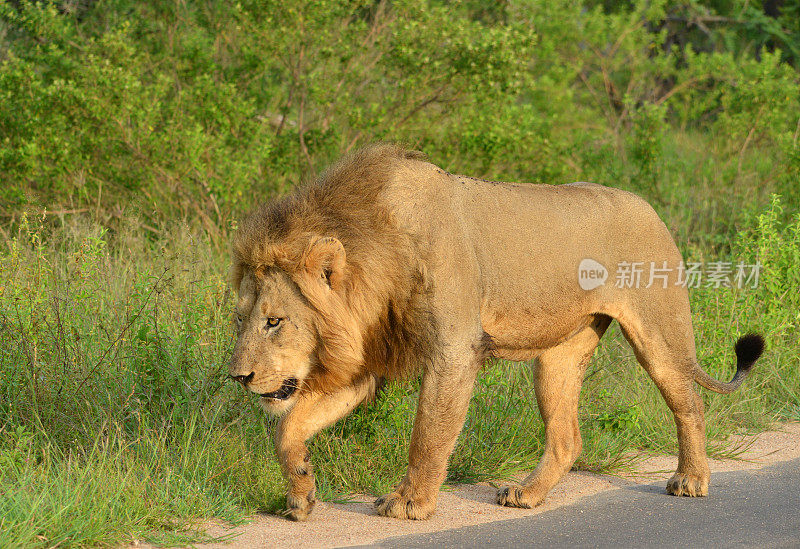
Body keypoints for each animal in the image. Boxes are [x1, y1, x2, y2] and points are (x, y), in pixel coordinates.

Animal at [228, 143, 764, 520]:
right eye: (241, 320)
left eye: (274, 321)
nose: (239, 377)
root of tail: (650, 207)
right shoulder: (366, 363)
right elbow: (290, 427)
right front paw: (300, 493)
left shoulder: (453, 350)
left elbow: (428, 434)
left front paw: (409, 503)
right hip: (557, 356)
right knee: (567, 437)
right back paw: (528, 493)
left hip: (659, 335)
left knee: (689, 403)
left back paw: (690, 479)